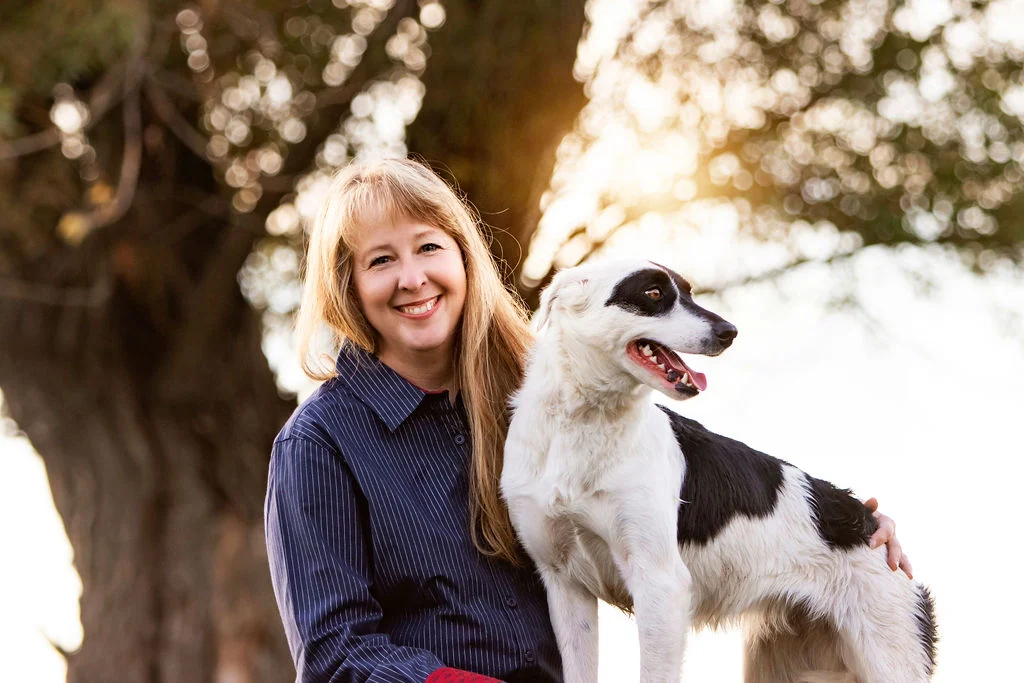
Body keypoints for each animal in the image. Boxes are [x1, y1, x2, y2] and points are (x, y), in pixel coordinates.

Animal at [501, 259, 937, 683]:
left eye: (690, 292)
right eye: (653, 293)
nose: (730, 332)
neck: (583, 426)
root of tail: (866, 521)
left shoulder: (661, 584)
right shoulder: (565, 584)